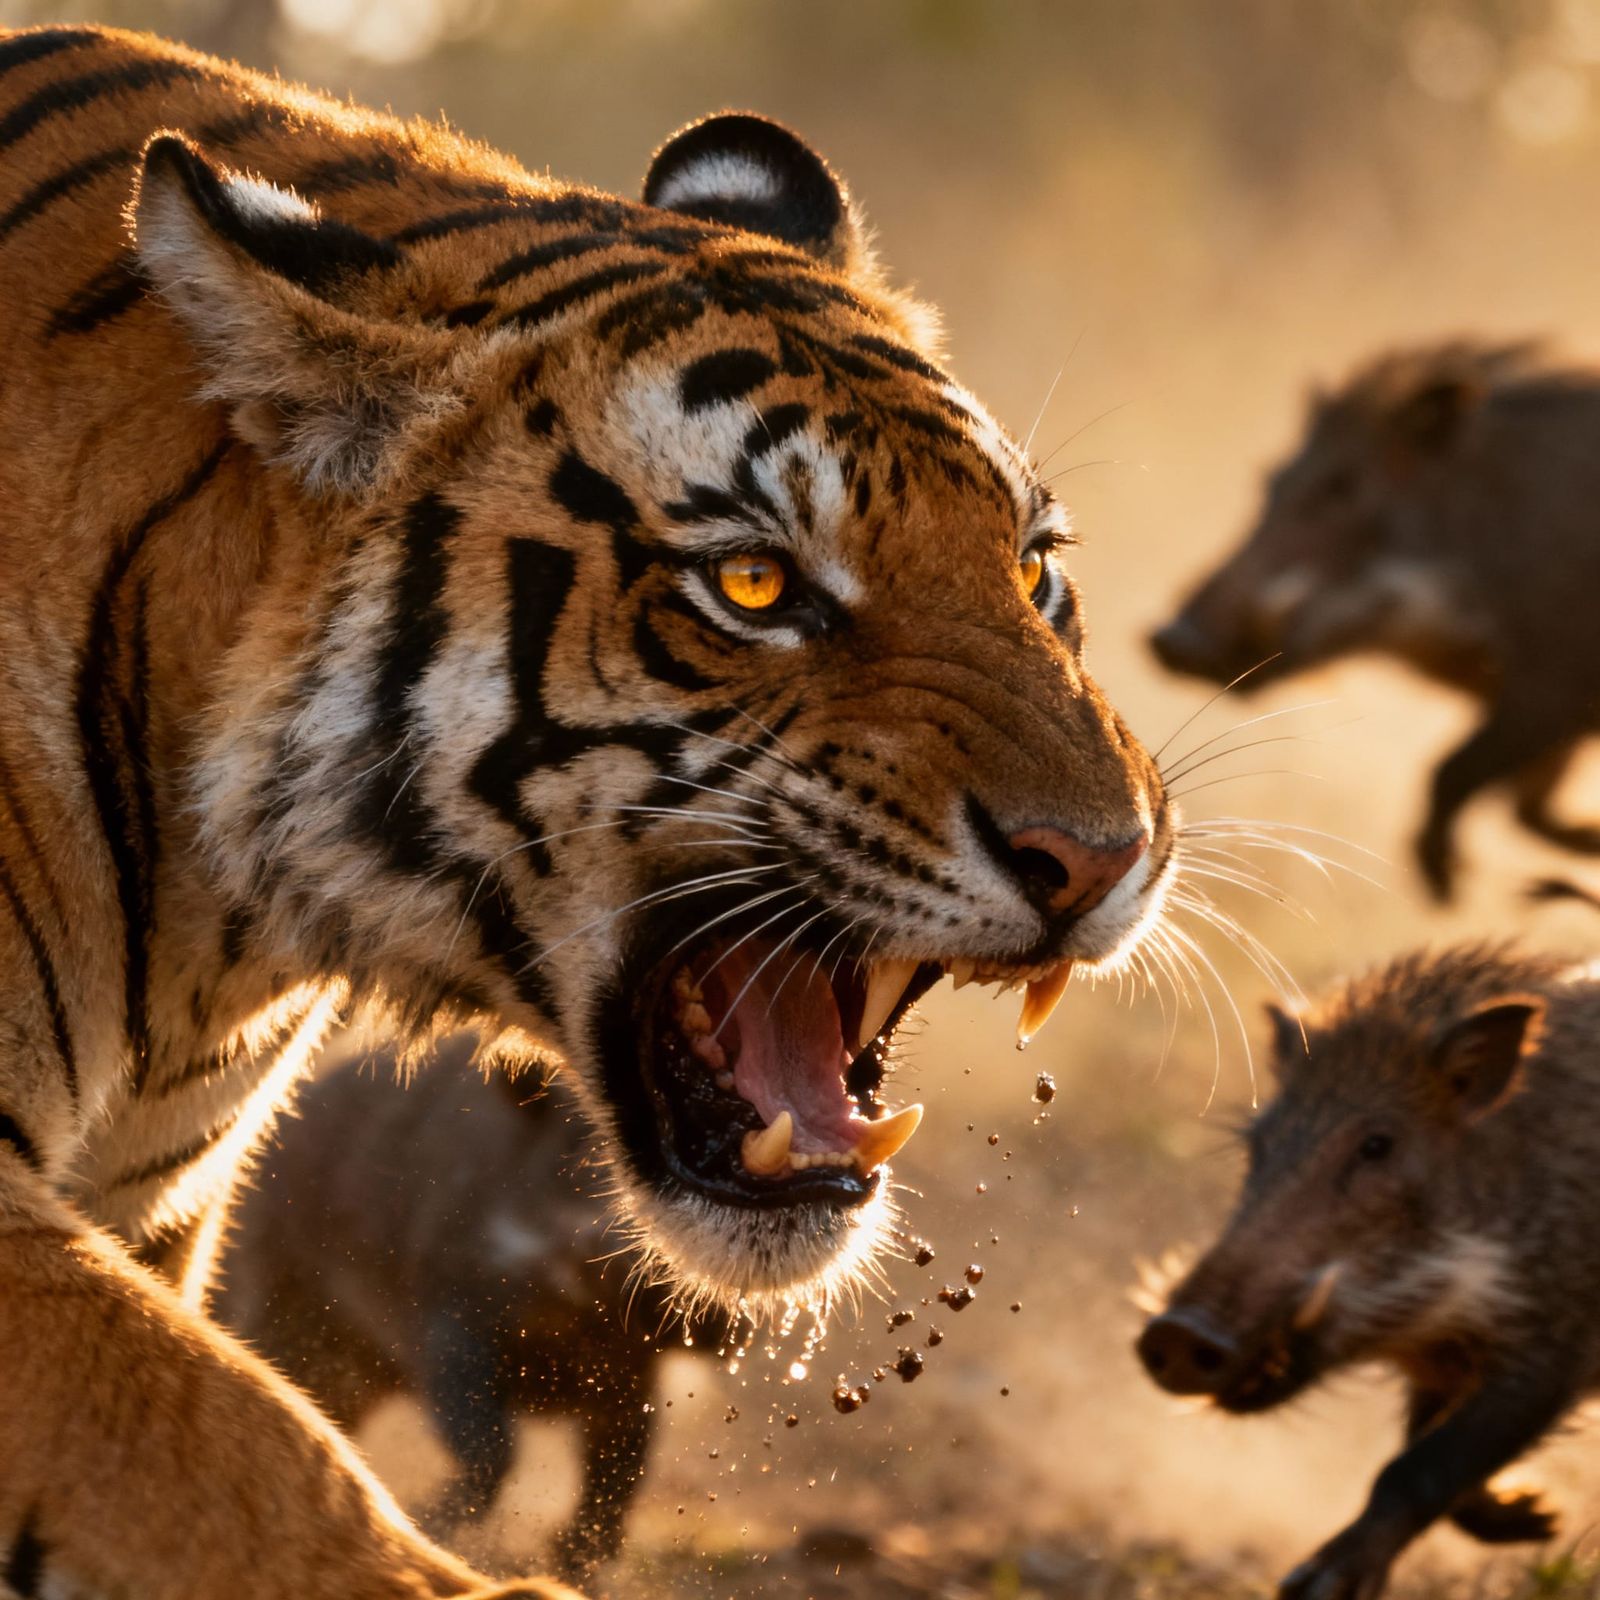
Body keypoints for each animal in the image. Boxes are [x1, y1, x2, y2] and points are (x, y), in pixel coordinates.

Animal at [0, 22, 1177, 1600]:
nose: (1105, 858)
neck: (217, 935)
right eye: (753, 584)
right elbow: (215, 1431)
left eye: (1035, 568)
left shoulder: (157, 1212)